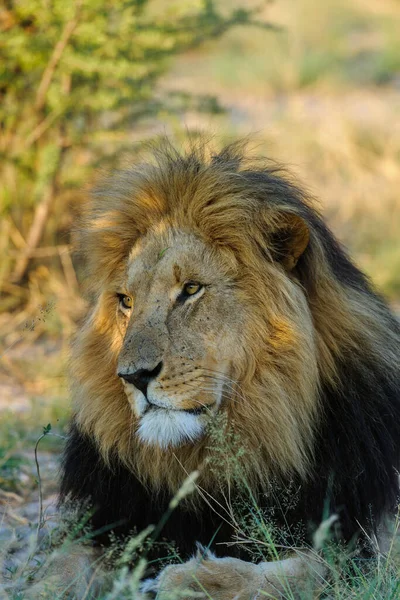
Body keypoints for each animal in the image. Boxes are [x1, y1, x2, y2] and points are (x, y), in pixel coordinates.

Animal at [59, 142, 400, 600]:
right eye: (126, 301)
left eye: (191, 289)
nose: (133, 376)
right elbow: (63, 566)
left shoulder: (368, 536)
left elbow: (304, 570)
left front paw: (190, 579)